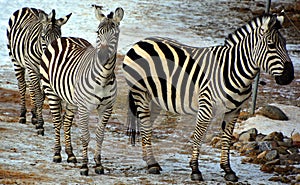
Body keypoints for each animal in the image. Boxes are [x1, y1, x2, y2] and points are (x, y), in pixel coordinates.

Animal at [6, 7, 72, 136]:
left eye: (59, 37)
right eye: (43, 37)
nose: (53, 54)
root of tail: (27, 7)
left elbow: (42, 95)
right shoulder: (33, 69)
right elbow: (39, 96)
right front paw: (40, 125)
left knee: (31, 87)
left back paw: (33, 115)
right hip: (16, 60)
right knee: (22, 85)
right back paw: (22, 115)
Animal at [40, 5, 124, 176]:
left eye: (115, 34)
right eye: (98, 32)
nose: (102, 56)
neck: (104, 77)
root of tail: (63, 38)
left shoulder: (107, 108)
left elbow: (99, 136)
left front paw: (98, 165)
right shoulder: (85, 108)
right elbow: (85, 136)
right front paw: (85, 166)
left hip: (72, 99)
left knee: (66, 122)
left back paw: (71, 155)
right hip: (51, 92)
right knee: (57, 121)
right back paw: (57, 154)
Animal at [123, 13, 294, 182]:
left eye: (286, 44)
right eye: (271, 45)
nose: (289, 76)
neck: (232, 70)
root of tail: (140, 42)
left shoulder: (234, 111)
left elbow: (227, 139)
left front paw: (228, 170)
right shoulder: (206, 107)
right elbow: (198, 137)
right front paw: (195, 170)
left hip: (155, 99)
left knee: (146, 126)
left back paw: (149, 161)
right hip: (141, 93)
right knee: (146, 126)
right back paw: (152, 164)